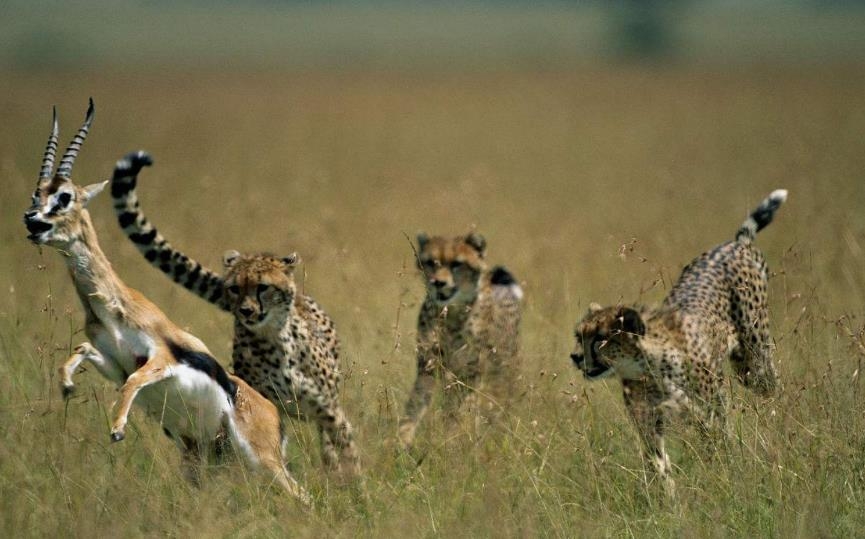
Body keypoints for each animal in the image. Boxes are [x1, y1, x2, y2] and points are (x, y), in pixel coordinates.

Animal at [110, 152, 358, 476]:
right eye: (234, 289)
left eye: (263, 287)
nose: (246, 310)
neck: (275, 342)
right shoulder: (265, 405)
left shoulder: (329, 410)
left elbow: (346, 449)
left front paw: (354, 485)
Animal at [396, 232, 520, 448]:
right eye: (431, 262)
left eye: (456, 264)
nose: (438, 282)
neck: (452, 313)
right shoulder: (428, 366)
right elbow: (415, 404)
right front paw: (400, 439)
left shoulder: (470, 373)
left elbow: (460, 412)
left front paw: (453, 439)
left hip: (501, 369)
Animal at [572, 190, 788, 494]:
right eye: (579, 335)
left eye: (601, 338)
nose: (576, 357)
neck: (649, 368)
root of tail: (735, 243)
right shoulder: (649, 425)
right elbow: (658, 467)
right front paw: (667, 500)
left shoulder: (710, 413)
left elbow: (720, 449)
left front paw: (724, 481)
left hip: (752, 362)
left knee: (773, 388)